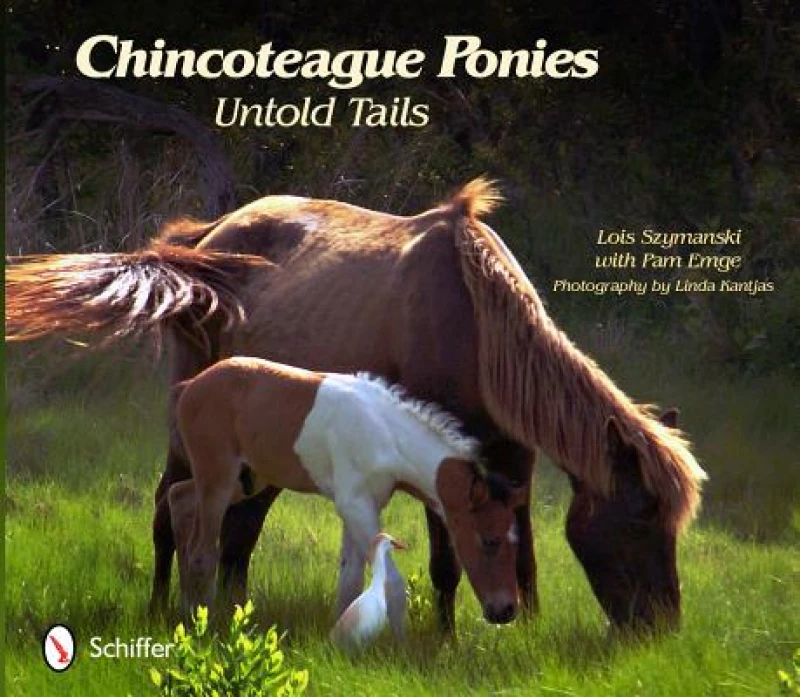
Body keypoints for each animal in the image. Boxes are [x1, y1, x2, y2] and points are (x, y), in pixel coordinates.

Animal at [167, 357, 526, 632]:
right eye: (489, 540)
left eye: (515, 542)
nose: (506, 610)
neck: (384, 433)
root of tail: (191, 385)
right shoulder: (356, 506)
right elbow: (391, 583)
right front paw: (400, 650)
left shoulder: (360, 508)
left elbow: (350, 581)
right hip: (219, 480)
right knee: (202, 553)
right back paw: (204, 623)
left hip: (245, 482)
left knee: (179, 498)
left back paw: (185, 612)